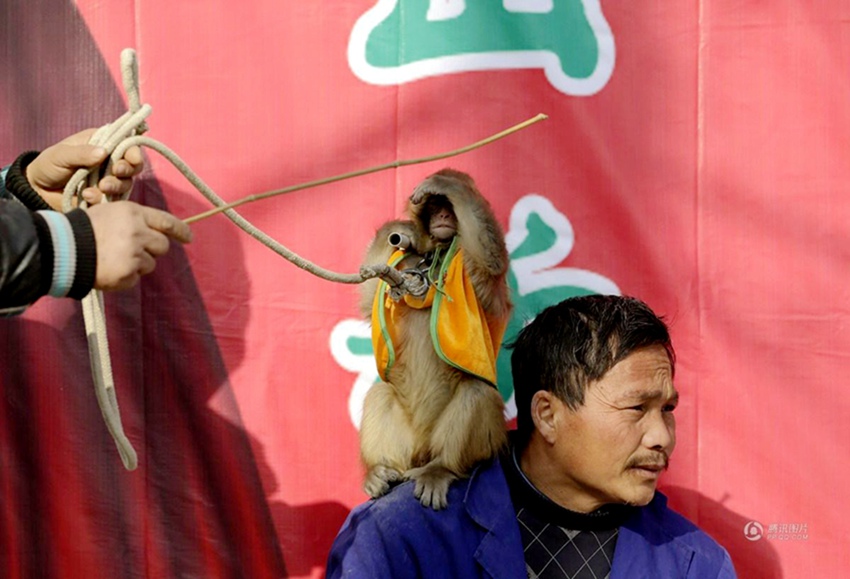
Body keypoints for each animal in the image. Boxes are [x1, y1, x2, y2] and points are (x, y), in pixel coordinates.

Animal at [63, 47, 548, 468]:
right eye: (437, 212)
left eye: (448, 208)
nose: (446, 216)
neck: (436, 254)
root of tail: (422, 451)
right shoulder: (408, 265)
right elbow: (370, 295)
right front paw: (400, 236)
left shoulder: (473, 273)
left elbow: (489, 261)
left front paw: (450, 183)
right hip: (406, 437)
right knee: (381, 394)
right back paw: (380, 472)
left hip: (455, 440)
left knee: (475, 394)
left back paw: (442, 471)